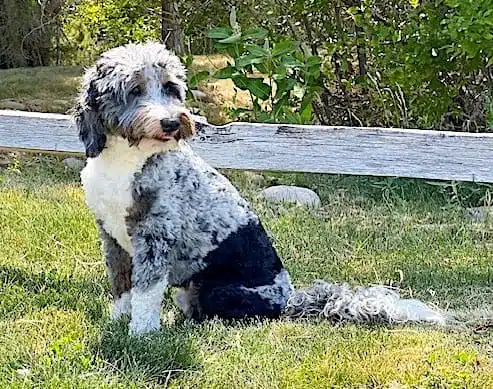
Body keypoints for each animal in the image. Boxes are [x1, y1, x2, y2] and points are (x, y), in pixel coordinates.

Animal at [75, 41, 448, 334]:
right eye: (135, 90)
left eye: (170, 87)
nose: (171, 122)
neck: (126, 160)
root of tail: (289, 298)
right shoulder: (112, 236)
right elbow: (122, 285)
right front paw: (118, 321)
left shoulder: (155, 237)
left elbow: (145, 292)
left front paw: (141, 334)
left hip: (216, 289)